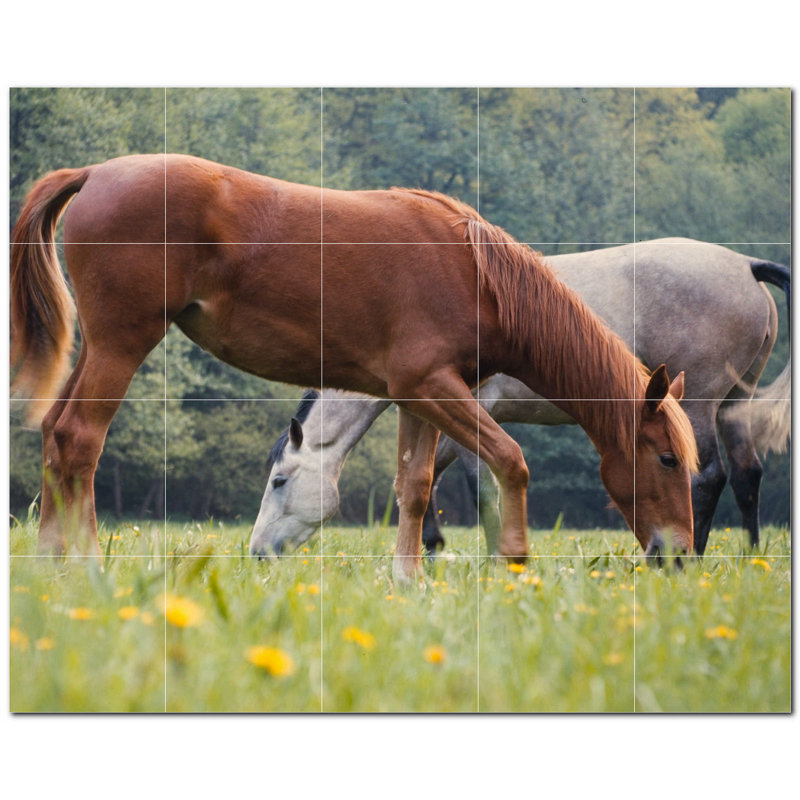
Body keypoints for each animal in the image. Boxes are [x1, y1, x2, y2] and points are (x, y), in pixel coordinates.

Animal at [10, 154, 697, 581]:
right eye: (666, 459)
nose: (679, 555)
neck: (475, 273)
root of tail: (95, 172)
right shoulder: (431, 388)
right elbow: (511, 461)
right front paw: (513, 564)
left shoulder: (421, 396)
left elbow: (414, 488)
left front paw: (408, 581)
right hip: (121, 345)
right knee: (80, 440)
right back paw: (89, 569)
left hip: (97, 348)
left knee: (54, 437)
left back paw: (50, 568)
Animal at [251, 240, 789, 557]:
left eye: (279, 481)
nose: (257, 552)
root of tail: (746, 265)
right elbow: (424, 479)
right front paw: (433, 548)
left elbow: (478, 485)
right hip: (732, 405)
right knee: (748, 475)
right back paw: (750, 556)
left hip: (694, 404)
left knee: (709, 476)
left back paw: (690, 553)